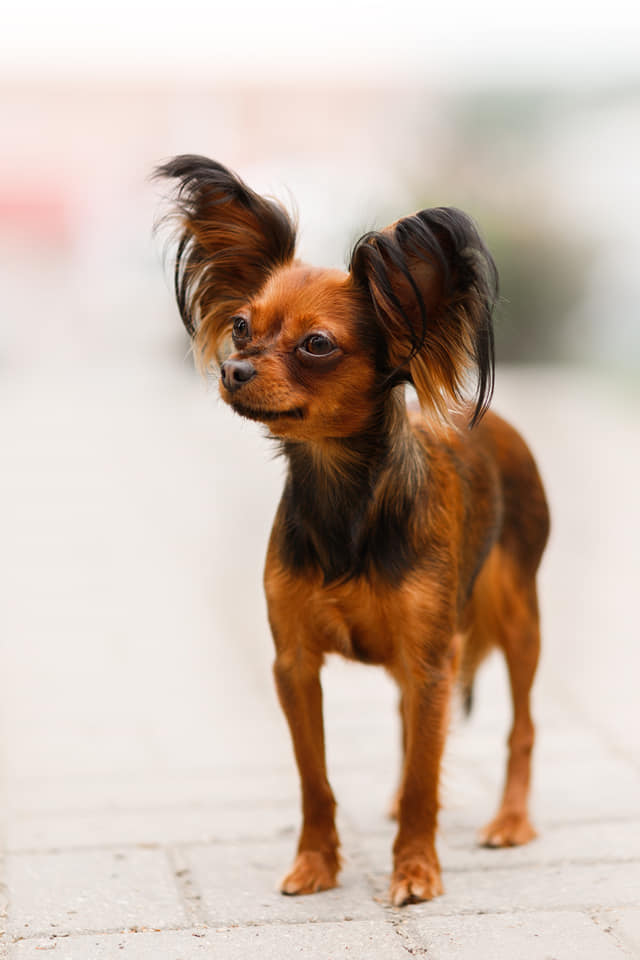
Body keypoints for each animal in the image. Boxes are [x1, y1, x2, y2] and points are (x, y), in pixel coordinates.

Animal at [156, 155, 550, 906]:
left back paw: (511, 821)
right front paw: (316, 864)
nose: (234, 369)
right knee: (409, 728)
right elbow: (317, 780)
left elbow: (427, 773)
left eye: (316, 345)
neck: (343, 493)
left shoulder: (431, 660)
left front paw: (416, 869)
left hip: (516, 618)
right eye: (242, 326)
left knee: (521, 726)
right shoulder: (296, 666)